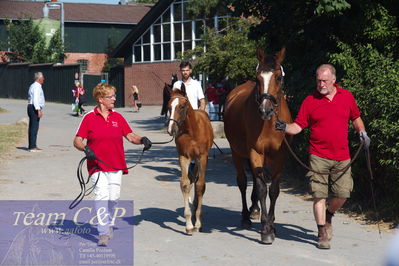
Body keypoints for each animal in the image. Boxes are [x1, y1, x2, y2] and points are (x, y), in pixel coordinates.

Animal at [166, 83, 214, 235]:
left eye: (182, 106)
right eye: (168, 106)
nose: (171, 129)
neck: (192, 131)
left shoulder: (202, 157)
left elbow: (200, 186)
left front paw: (198, 223)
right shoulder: (184, 157)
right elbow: (185, 184)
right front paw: (189, 224)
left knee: (198, 181)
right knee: (192, 178)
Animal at [223, 47, 292, 243]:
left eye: (278, 77)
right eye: (258, 77)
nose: (265, 110)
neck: (269, 124)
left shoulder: (279, 156)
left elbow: (274, 190)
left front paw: (272, 225)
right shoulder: (255, 152)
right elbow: (262, 189)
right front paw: (266, 230)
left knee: (255, 178)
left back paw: (254, 209)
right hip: (237, 153)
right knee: (242, 181)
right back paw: (246, 216)